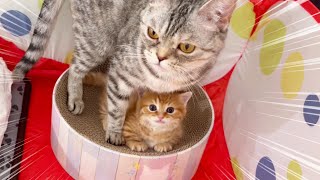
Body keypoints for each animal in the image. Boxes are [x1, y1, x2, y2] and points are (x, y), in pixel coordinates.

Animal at [12, 0, 235, 145]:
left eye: (186, 47)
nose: (160, 57)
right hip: (96, 42)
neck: (163, 78)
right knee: (75, 67)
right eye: (152, 33)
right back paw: (75, 97)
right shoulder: (120, 75)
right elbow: (117, 108)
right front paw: (115, 132)